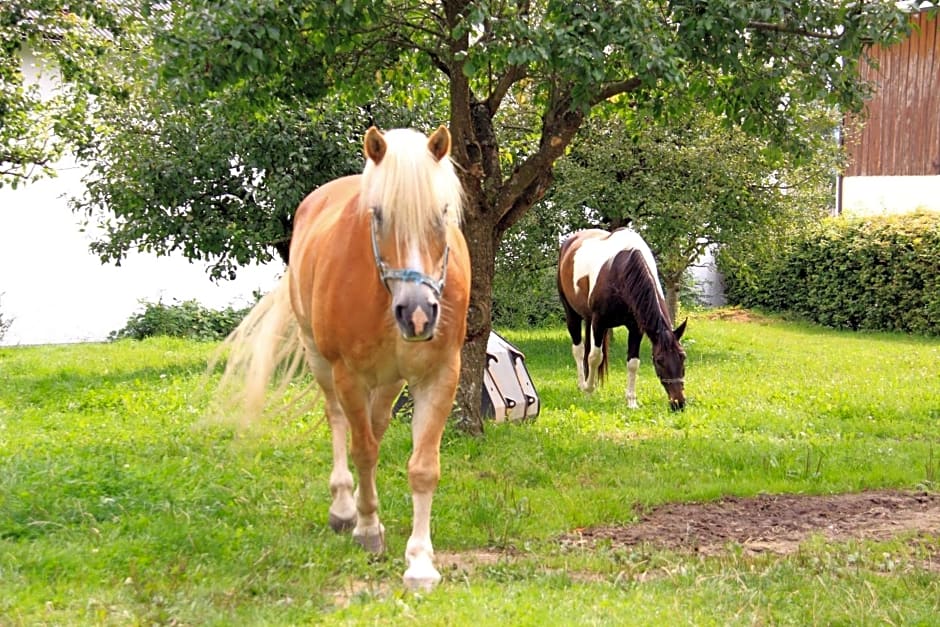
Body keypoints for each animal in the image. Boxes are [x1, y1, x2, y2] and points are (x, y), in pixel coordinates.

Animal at [218, 126, 470, 588]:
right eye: (378, 214)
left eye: (442, 213)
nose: (418, 313)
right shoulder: (348, 374)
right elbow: (363, 450)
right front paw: (367, 528)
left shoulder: (440, 374)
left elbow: (423, 467)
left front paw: (420, 562)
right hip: (320, 359)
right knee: (340, 421)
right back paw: (344, 507)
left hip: (389, 379)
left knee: (375, 423)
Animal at [556, 231, 688, 412]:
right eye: (659, 361)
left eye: (683, 357)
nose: (678, 403)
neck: (620, 270)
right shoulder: (599, 322)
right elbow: (595, 357)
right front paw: (589, 391)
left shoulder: (636, 328)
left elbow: (633, 363)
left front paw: (631, 401)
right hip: (572, 315)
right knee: (580, 350)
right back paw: (583, 385)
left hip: (589, 319)